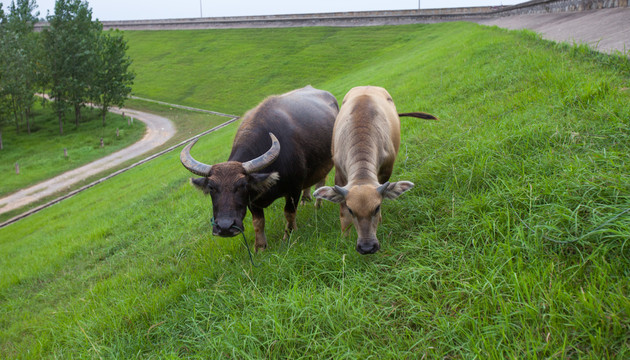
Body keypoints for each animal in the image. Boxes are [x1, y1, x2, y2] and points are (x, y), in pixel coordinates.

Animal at [183, 86, 340, 252]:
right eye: (211, 187)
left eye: (242, 186)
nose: (225, 227)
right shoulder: (252, 201)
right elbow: (258, 222)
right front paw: (260, 247)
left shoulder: (293, 189)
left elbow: (289, 213)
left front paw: (289, 235)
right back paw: (306, 200)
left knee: (321, 180)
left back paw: (318, 204)